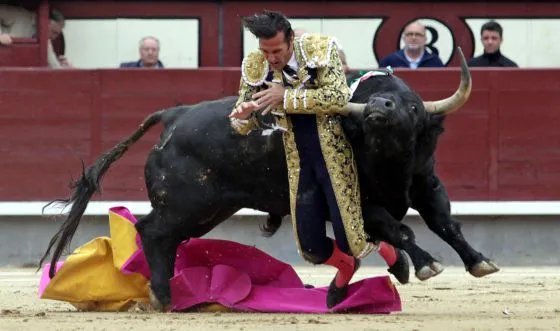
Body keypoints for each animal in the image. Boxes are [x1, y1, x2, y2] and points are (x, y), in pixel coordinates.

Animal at [41, 48, 500, 310]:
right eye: (367, 101)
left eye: (412, 106)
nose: (378, 109)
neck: (389, 162)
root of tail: (173, 114)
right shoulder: (359, 203)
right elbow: (400, 229)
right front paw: (425, 265)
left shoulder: (427, 184)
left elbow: (445, 223)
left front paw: (478, 261)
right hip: (189, 204)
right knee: (153, 231)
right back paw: (163, 297)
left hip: (209, 208)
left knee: (164, 237)